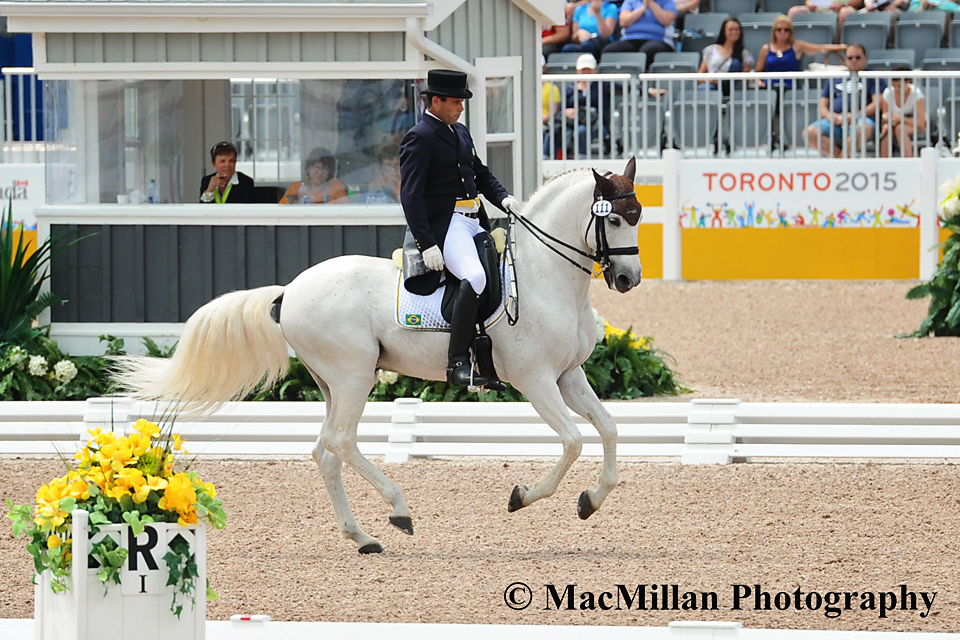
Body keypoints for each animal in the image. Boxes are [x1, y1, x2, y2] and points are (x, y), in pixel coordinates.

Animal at [114, 156, 644, 556]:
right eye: (615, 218)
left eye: (639, 215)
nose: (628, 280)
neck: (543, 275)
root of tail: (290, 290)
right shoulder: (535, 380)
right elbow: (574, 440)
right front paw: (523, 496)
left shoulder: (569, 375)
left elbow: (610, 429)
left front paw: (591, 501)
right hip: (354, 376)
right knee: (342, 441)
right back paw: (399, 510)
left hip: (334, 382)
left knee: (325, 450)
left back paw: (362, 537)